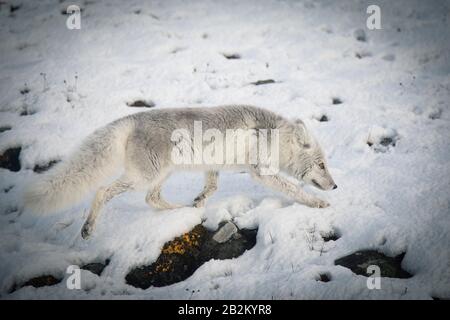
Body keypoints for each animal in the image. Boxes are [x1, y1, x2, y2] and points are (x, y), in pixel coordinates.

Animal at [22, 106, 336, 239]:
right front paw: (319, 203)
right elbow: (295, 189)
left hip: (160, 176)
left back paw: (181, 211)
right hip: (144, 177)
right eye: (322, 164)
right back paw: (87, 229)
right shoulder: (261, 172)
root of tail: (131, 119)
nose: (335, 187)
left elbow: (211, 187)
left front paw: (199, 201)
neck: (273, 135)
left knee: (151, 199)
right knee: (103, 191)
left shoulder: (213, 166)